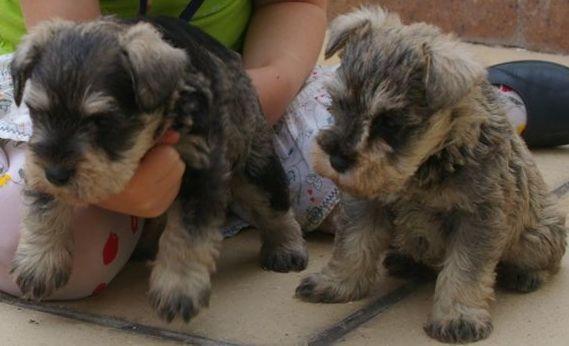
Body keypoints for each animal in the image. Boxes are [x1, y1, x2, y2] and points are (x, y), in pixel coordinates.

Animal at [8, 16, 308, 324]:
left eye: (102, 121)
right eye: (37, 111)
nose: (56, 175)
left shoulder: (202, 171)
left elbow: (188, 233)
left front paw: (179, 288)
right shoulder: (40, 159)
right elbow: (44, 206)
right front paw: (40, 261)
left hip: (255, 165)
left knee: (275, 207)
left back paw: (286, 248)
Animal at [296, 6, 564, 344]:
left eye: (390, 123)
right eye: (339, 102)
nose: (337, 159)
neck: (426, 164)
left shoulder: (478, 218)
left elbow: (465, 270)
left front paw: (457, 316)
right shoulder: (366, 203)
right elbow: (352, 245)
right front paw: (336, 283)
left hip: (536, 235)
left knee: (546, 259)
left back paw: (525, 274)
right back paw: (405, 261)